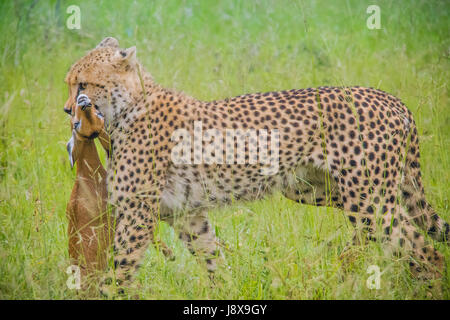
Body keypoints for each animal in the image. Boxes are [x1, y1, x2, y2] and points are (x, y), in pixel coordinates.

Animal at [64, 37, 450, 296]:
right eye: (69, 83)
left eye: (83, 84)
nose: (69, 109)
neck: (128, 106)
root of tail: (392, 99)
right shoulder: (186, 213)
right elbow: (213, 259)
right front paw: (228, 290)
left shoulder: (137, 212)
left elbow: (122, 267)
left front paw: (109, 293)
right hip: (321, 190)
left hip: (368, 200)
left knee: (425, 252)